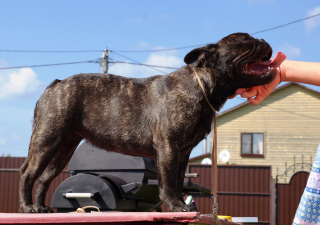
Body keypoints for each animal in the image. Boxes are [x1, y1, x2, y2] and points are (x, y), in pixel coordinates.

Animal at [18, 32, 282, 212]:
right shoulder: (168, 146)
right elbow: (167, 180)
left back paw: (40, 208)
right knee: (27, 173)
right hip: (47, 139)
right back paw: (27, 207)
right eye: (245, 40)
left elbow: (177, 179)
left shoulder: (183, 151)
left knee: (44, 177)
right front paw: (176, 206)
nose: (262, 39)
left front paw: (179, 203)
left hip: (63, 146)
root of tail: (56, 84)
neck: (200, 85)